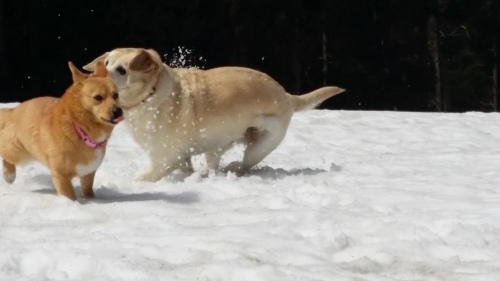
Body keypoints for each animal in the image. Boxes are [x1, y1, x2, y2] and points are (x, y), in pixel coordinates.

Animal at [0, 61, 124, 199]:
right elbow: (69, 196)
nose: (118, 111)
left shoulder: (88, 173)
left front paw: (91, 199)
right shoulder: (61, 175)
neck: (80, 129)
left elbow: (87, 189)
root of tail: (12, 111)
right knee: (6, 156)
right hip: (18, 152)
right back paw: (9, 175)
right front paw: (71, 203)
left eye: (116, 95)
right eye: (98, 97)